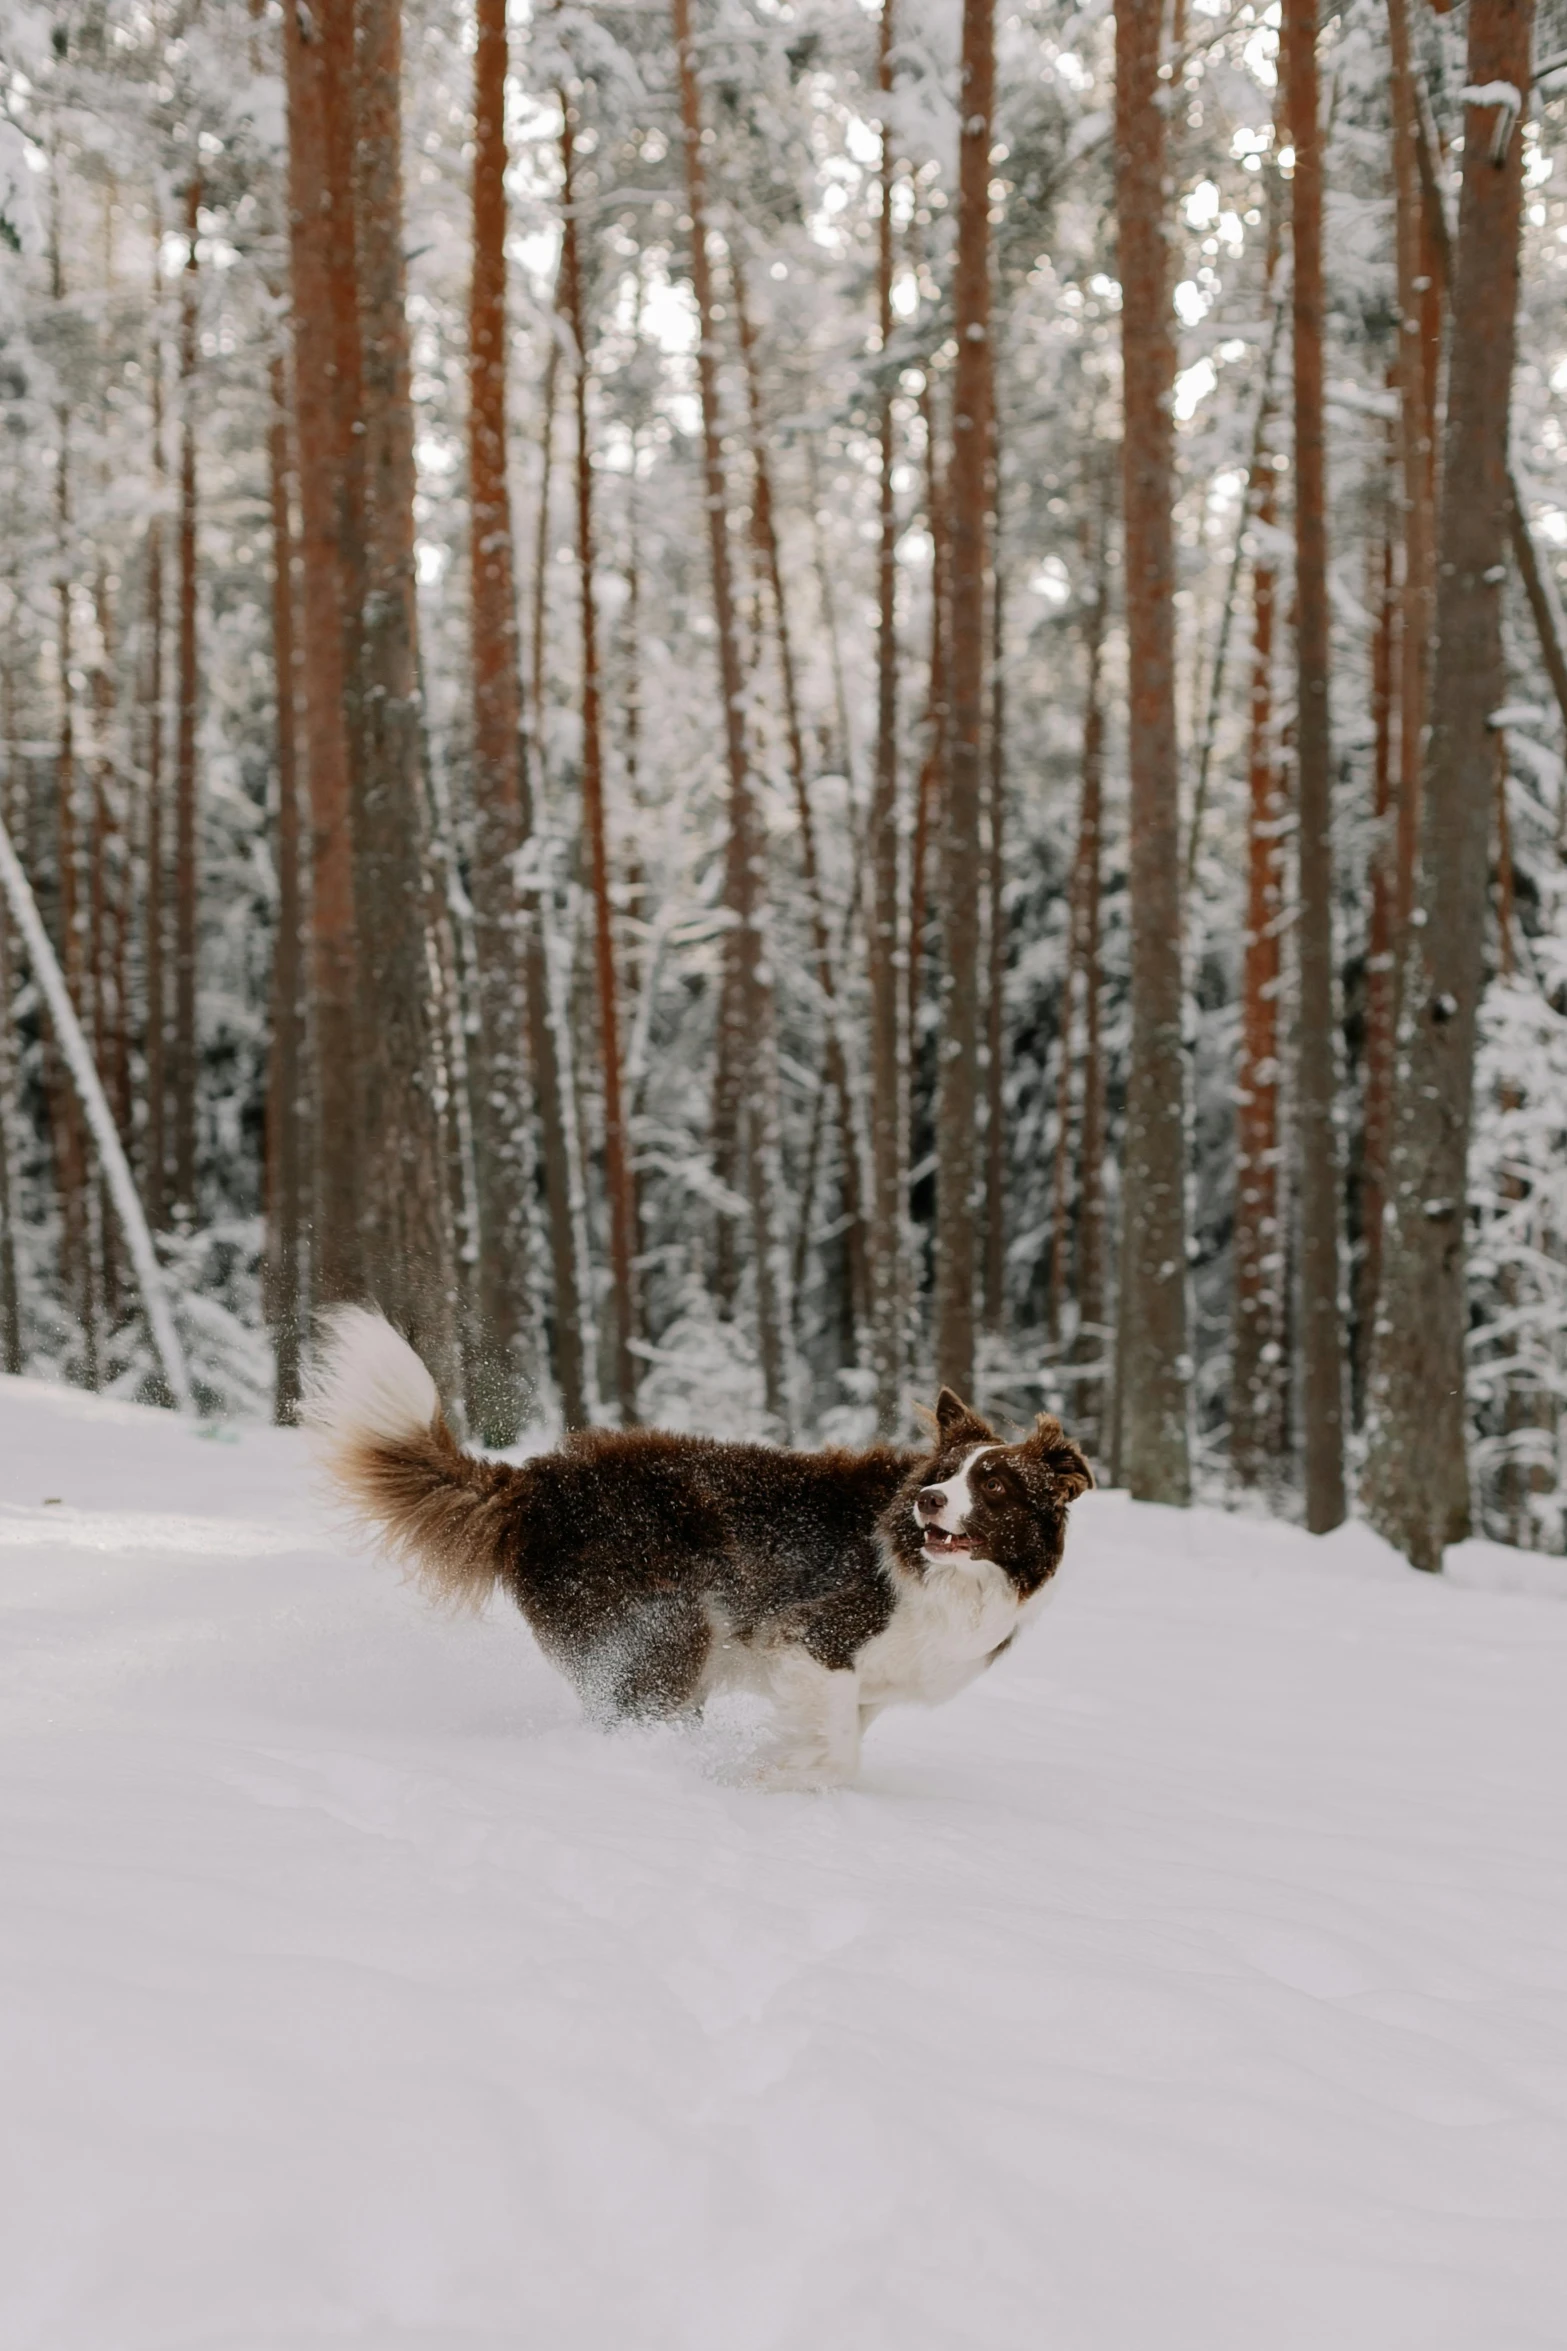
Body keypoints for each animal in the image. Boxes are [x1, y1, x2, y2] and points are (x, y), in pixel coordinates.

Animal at [303, 1307, 1090, 1777]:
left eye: (993, 1484)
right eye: (941, 1475)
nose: (928, 1501)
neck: (950, 1581)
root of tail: (536, 1480)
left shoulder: (864, 1683)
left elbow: (834, 1744)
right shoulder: (816, 1638)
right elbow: (832, 1752)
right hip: (662, 1631)